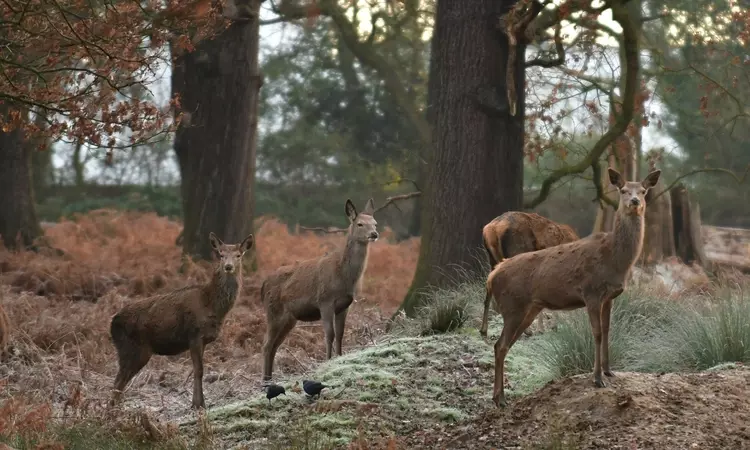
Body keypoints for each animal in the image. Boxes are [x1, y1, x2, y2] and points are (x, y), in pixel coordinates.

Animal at [110, 230, 254, 410]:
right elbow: (199, 370)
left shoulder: (203, 340)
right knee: (119, 381)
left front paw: (197, 403)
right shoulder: (194, 334)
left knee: (118, 381)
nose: (228, 266)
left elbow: (196, 369)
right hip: (134, 348)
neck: (212, 305)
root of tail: (112, 323)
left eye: (238, 255)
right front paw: (198, 405)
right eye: (221, 255)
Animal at [262, 199, 378, 382]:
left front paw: (339, 358)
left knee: (274, 345)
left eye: (375, 223)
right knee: (266, 344)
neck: (344, 277)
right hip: (273, 311)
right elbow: (329, 334)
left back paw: (269, 379)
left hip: (289, 318)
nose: (374, 234)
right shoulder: (325, 301)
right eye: (360, 224)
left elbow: (340, 334)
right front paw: (327, 361)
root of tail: (263, 284)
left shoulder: (345, 305)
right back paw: (265, 380)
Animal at [484, 169, 660, 408]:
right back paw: (501, 399)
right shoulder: (591, 292)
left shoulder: (610, 297)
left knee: (501, 345)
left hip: (528, 309)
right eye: (623, 190)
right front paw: (597, 378)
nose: (634, 202)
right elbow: (596, 333)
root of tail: (492, 276)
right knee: (501, 345)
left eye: (643, 191)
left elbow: (607, 330)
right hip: (512, 306)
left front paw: (609, 371)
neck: (615, 260)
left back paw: (497, 396)